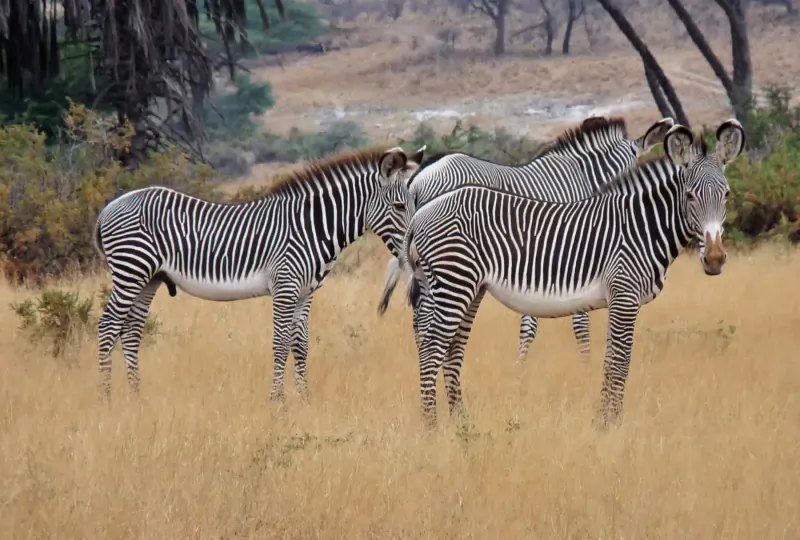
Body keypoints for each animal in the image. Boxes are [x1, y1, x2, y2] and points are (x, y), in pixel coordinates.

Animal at [92, 145, 425, 402]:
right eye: (399, 206)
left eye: (414, 203)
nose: (414, 250)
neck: (311, 228)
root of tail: (109, 207)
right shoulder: (285, 286)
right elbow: (280, 343)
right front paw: (277, 400)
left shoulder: (305, 294)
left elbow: (300, 346)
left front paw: (304, 399)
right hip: (131, 271)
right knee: (108, 327)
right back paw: (106, 397)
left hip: (148, 279)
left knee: (131, 332)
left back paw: (136, 395)